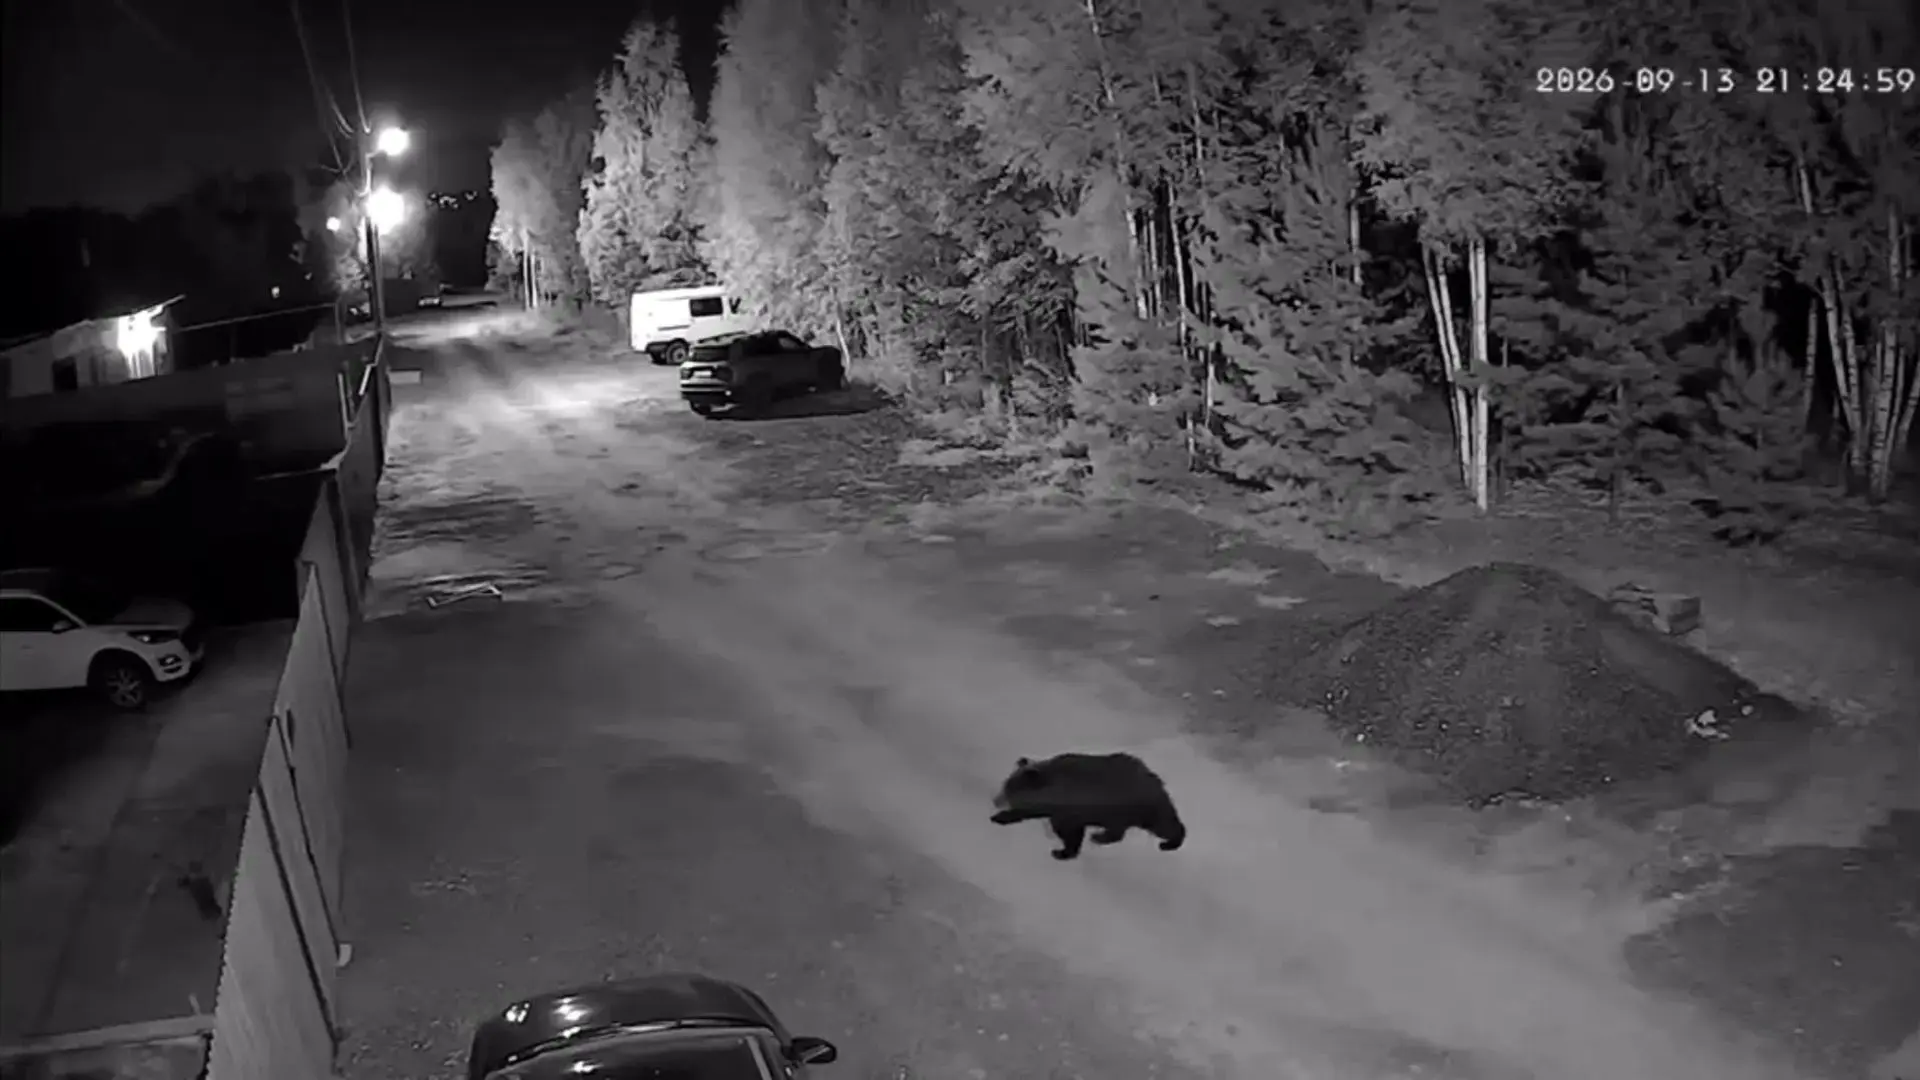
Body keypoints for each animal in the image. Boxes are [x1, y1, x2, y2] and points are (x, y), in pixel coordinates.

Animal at [990, 752, 1186, 860]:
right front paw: (1064, 852)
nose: (996, 801)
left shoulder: (1071, 808)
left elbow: (1067, 831)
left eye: (1009, 790)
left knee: (1165, 825)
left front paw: (1001, 817)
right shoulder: (1069, 812)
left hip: (1141, 807)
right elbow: (1072, 833)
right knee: (1118, 831)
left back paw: (1168, 843)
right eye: (1005, 784)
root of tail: (1158, 783)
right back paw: (1100, 836)